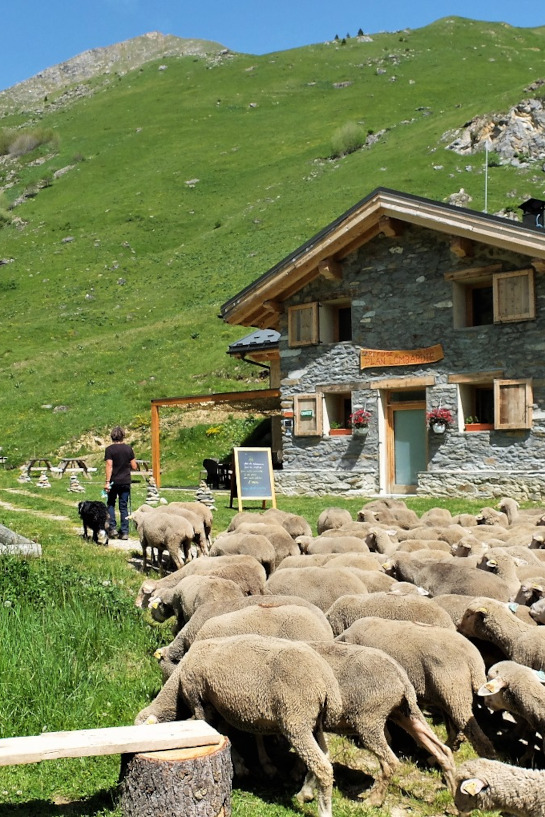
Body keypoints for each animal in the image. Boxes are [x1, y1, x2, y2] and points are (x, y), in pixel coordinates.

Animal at [135, 636, 340, 817]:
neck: (177, 688)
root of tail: (327, 681)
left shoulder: (199, 702)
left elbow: (218, 733)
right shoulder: (222, 706)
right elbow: (225, 735)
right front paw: (240, 764)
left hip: (296, 720)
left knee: (322, 767)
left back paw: (324, 811)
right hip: (314, 722)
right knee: (325, 755)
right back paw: (306, 792)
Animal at [306, 640, 454, 808]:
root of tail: (401, 677)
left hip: (369, 719)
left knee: (390, 762)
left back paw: (373, 800)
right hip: (404, 712)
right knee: (441, 750)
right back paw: (454, 795)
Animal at [338, 616, 496, 756]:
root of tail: (474, 660)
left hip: (454, 689)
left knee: (471, 729)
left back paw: (486, 755)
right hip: (447, 693)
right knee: (456, 729)